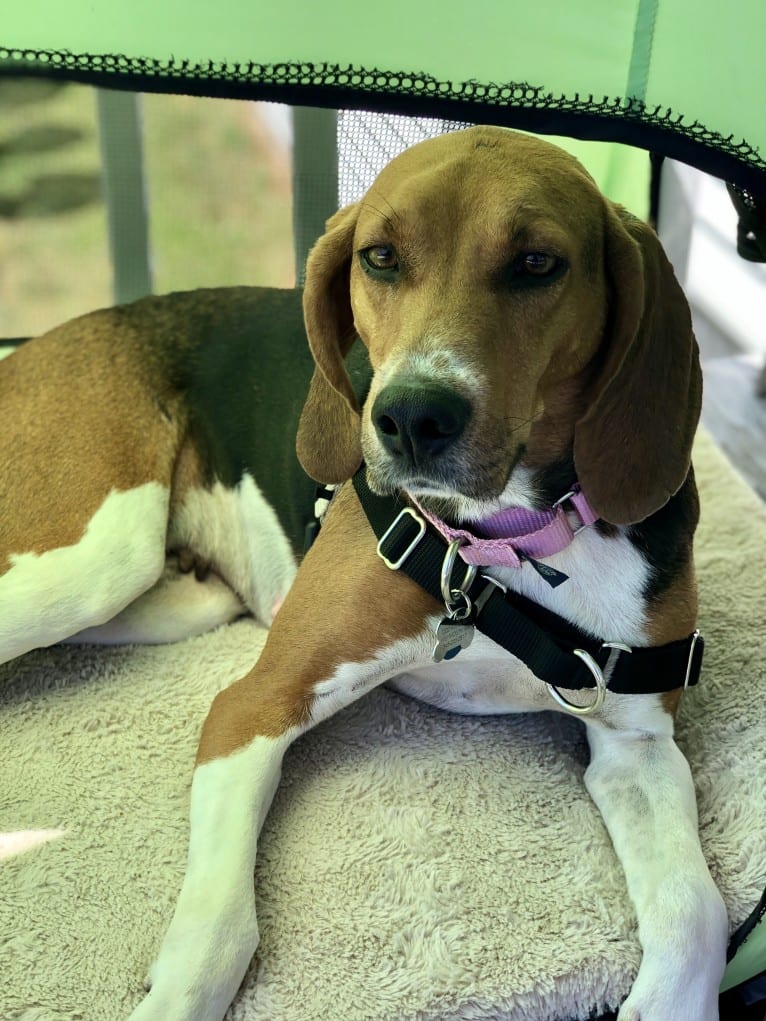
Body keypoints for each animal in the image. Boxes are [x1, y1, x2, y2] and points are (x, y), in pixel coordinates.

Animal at [0, 129, 727, 1021]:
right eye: (380, 256)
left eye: (536, 263)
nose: (412, 416)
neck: (502, 548)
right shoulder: (255, 703)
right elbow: (216, 934)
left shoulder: (635, 743)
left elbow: (698, 912)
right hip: (95, 557)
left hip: (170, 599)